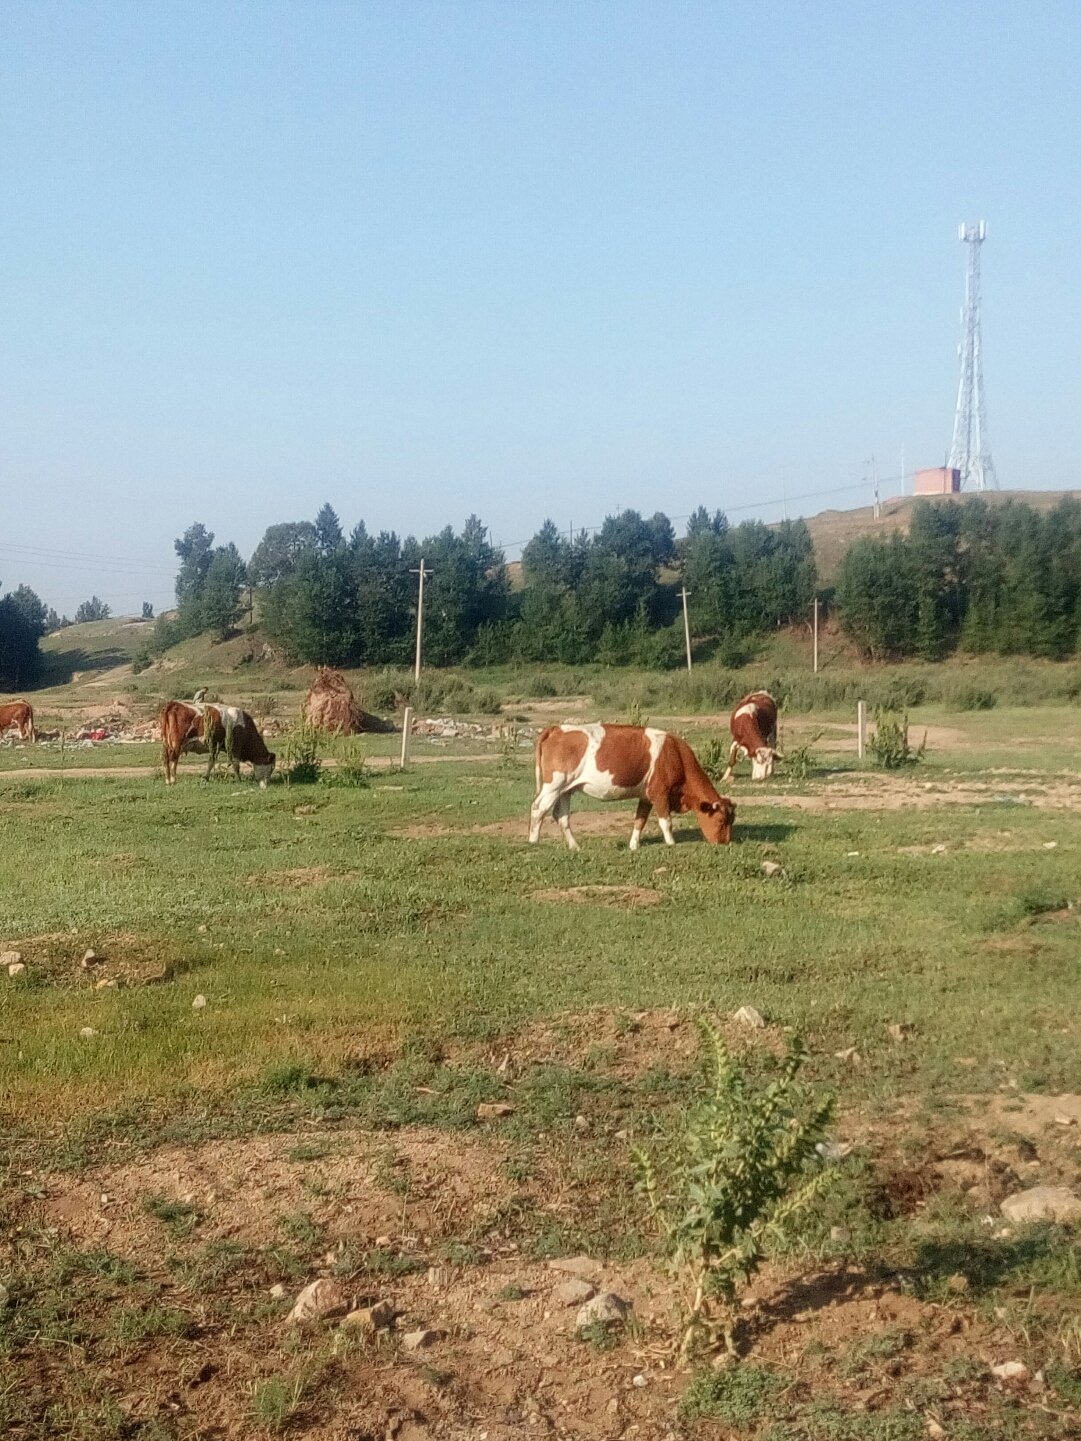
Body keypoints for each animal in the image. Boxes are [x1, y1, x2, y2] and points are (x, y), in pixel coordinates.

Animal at [530, 726, 743, 847]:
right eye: (721, 821)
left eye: (731, 821)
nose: (725, 843)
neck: (676, 755)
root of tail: (557, 728)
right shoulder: (659, 792)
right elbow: (666, 821)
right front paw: (671, 844)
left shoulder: (646, 796)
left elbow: (639, 821)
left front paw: (633, 845)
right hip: (554, 785)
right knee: (538, 808)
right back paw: (534, 842)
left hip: (565, 789)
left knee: (562, 816)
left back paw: (575, 846)